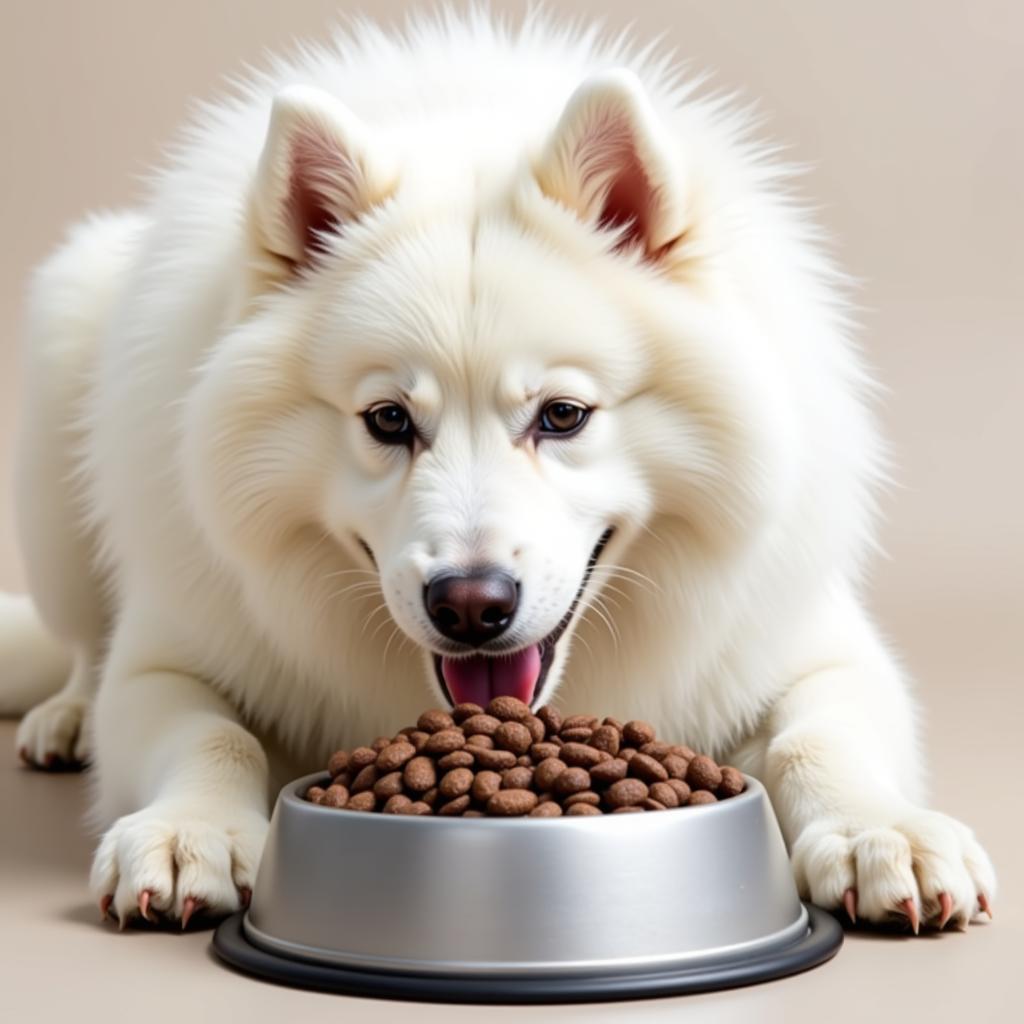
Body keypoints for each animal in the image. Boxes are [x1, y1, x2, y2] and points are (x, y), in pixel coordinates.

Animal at [0, 9, 991, 937]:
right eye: (388, 420)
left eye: (562, 416)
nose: (471, 607)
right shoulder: (168, 656)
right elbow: (211, 736)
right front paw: (188, 831)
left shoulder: (813, 646)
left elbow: (817, 740)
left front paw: (881, 832)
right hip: (63, 364)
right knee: (84, 645)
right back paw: (65, 717)